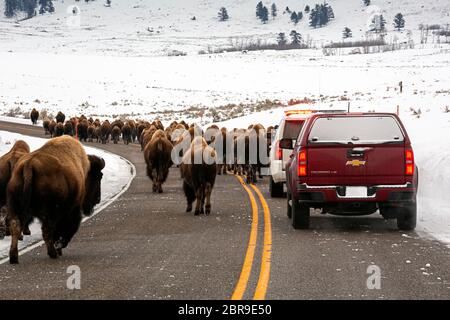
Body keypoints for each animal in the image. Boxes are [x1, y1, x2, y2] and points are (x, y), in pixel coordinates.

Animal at [6, 136, 105, 264]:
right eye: (99, 176)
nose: (98, 199)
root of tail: (29, 165)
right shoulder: (71, 211)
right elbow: (67, 229)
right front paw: (60, 247)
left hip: (15, 206)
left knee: (15, 226)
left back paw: (14, 257)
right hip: (50, 212)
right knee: (47, 230)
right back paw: (53, 253)